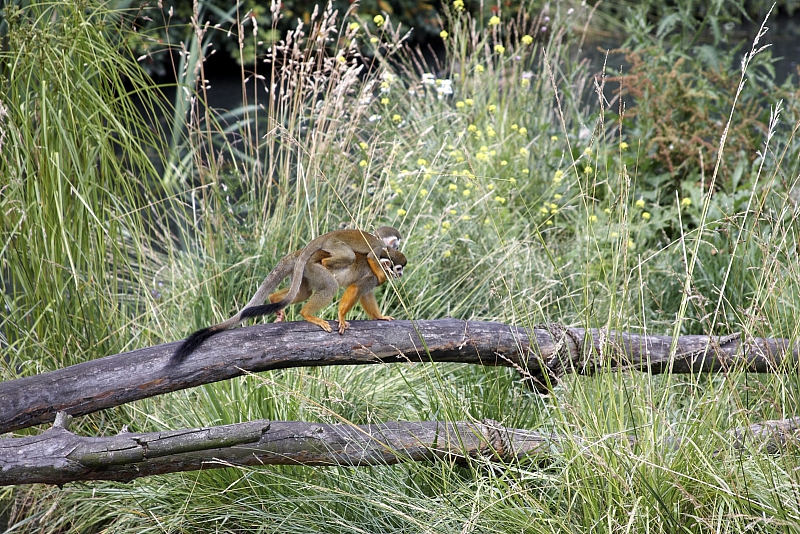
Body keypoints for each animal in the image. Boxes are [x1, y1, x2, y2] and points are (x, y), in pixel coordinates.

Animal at [172, 226, 404, 364]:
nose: (400, 275)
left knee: (304, 291)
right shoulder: (373, 271)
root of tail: (301, 253)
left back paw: (276, 302)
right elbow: (357, 288)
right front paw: (341, 317)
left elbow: (367, 296)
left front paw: (379, 316)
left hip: (305, 274)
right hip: (315, 267)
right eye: (398, 268)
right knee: (329, 286)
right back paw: (308, 312)